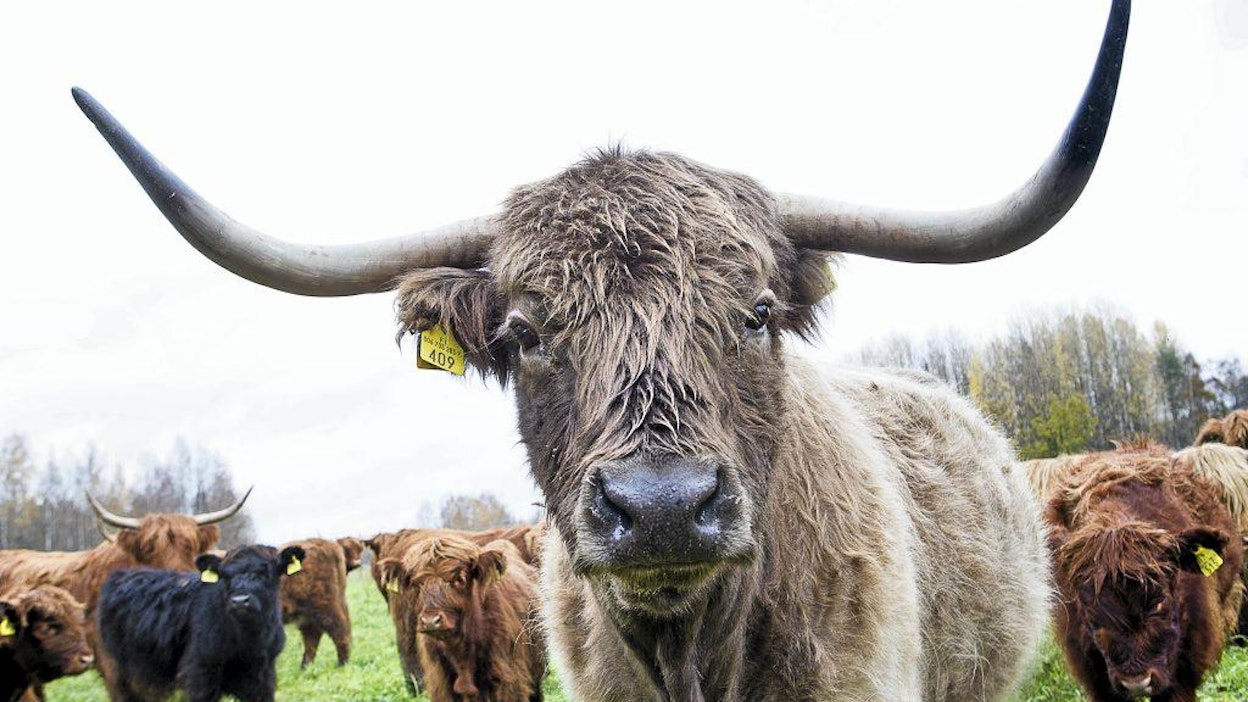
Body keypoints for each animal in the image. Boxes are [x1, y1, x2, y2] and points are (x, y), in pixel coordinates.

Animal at [96, 544, 304, 702]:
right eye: (225, 576)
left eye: (265, 573)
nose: (239, 601)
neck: (248, 640)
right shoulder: (199, 674)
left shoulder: (263, 676)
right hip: (119, 671)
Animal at [278, 538, 352, 668]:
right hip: (309, 614)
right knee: (312, 638)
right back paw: (305, 668)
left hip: (324, 606)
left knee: (339, 630)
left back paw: (342, 664)